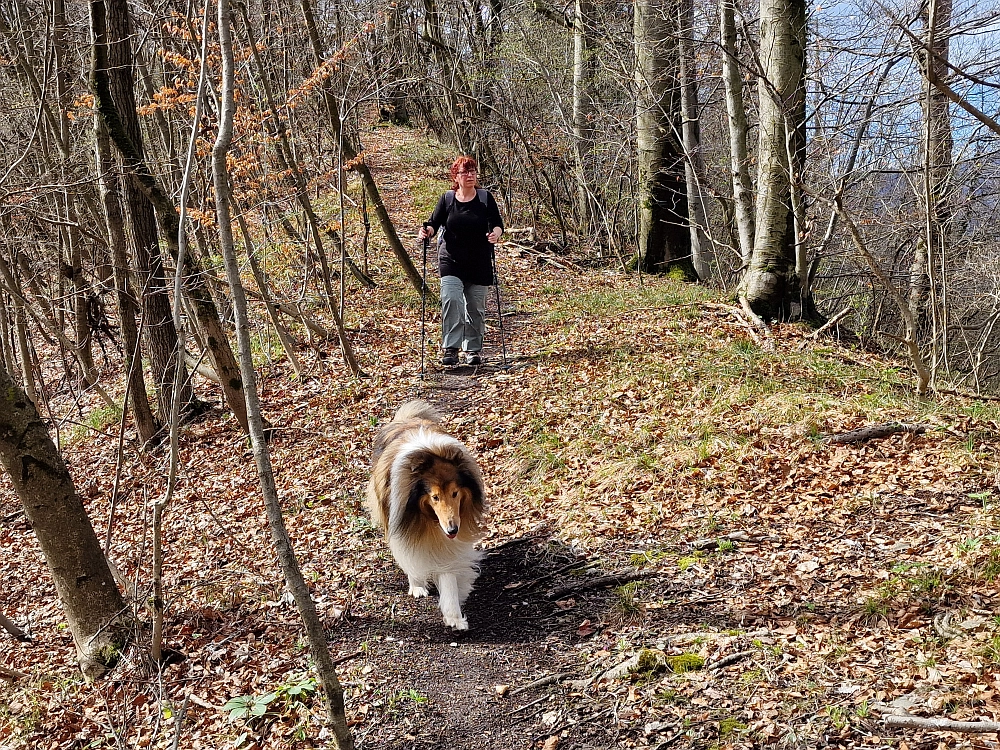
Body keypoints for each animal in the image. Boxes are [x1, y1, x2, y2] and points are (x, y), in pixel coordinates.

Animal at [370, 402, 490, 632]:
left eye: (455, 493)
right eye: (435, 497)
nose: (453, 529)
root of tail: (406, 419)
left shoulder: (448, 543)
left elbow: (448, 572)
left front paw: (454, 616)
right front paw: (418, 584)